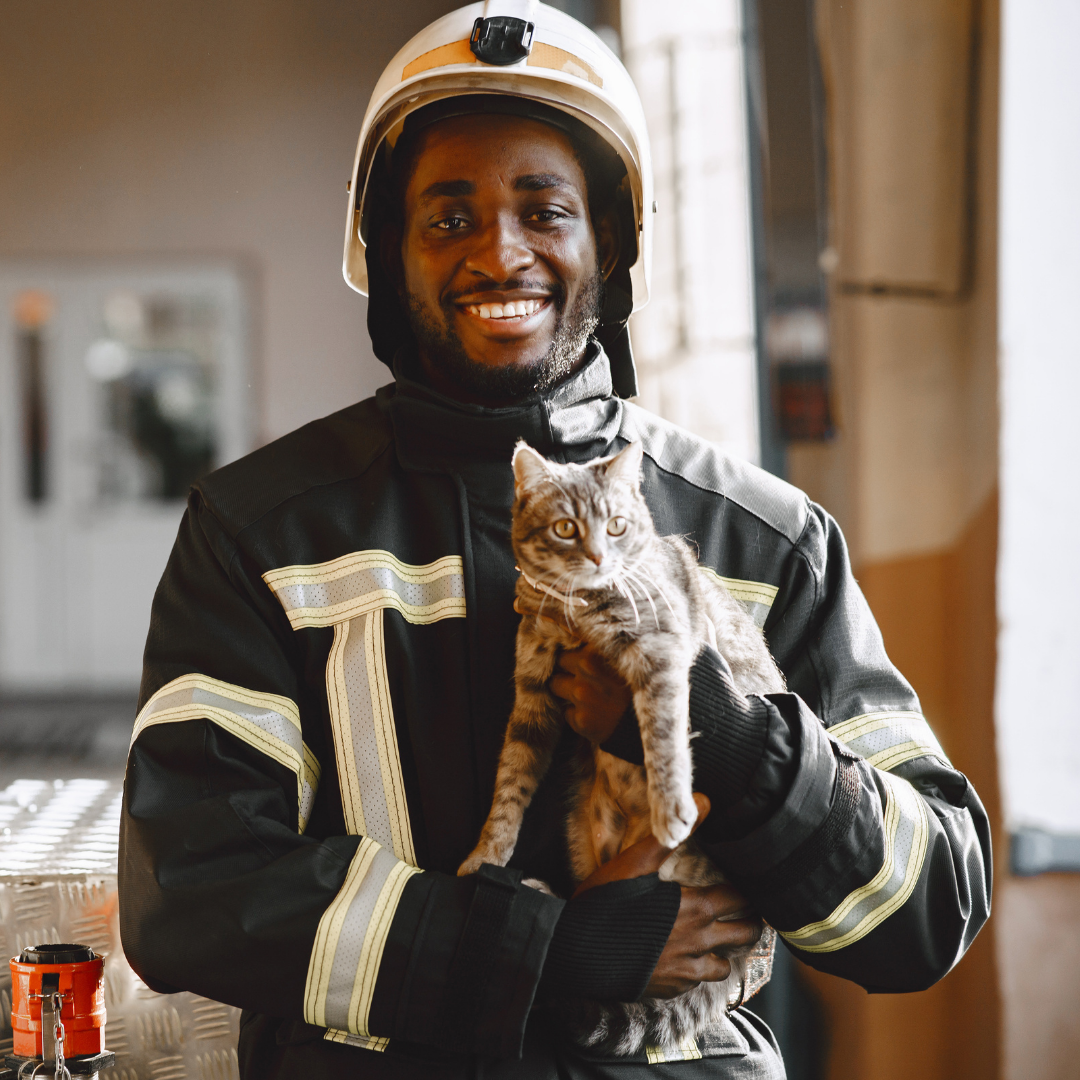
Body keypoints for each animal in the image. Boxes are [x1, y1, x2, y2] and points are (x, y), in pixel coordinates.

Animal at [457, 438, 786, 1054]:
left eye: (616, 525)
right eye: (565, 527)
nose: (595, 557)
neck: (576, 610)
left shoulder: (664, 656)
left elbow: (663, 736)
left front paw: (672, 805)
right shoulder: (531, 698)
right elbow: (509, 786)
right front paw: (486, 854)